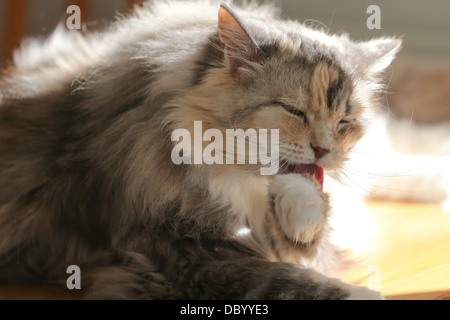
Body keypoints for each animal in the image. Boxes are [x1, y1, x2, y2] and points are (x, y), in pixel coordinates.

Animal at [0, 0, 400, 300]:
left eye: (344, 122)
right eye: (294, 111)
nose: (324, 149)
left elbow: (309, 235)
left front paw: (298, 200)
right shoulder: (179, 252)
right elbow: (285, 280)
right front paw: (364, 293)